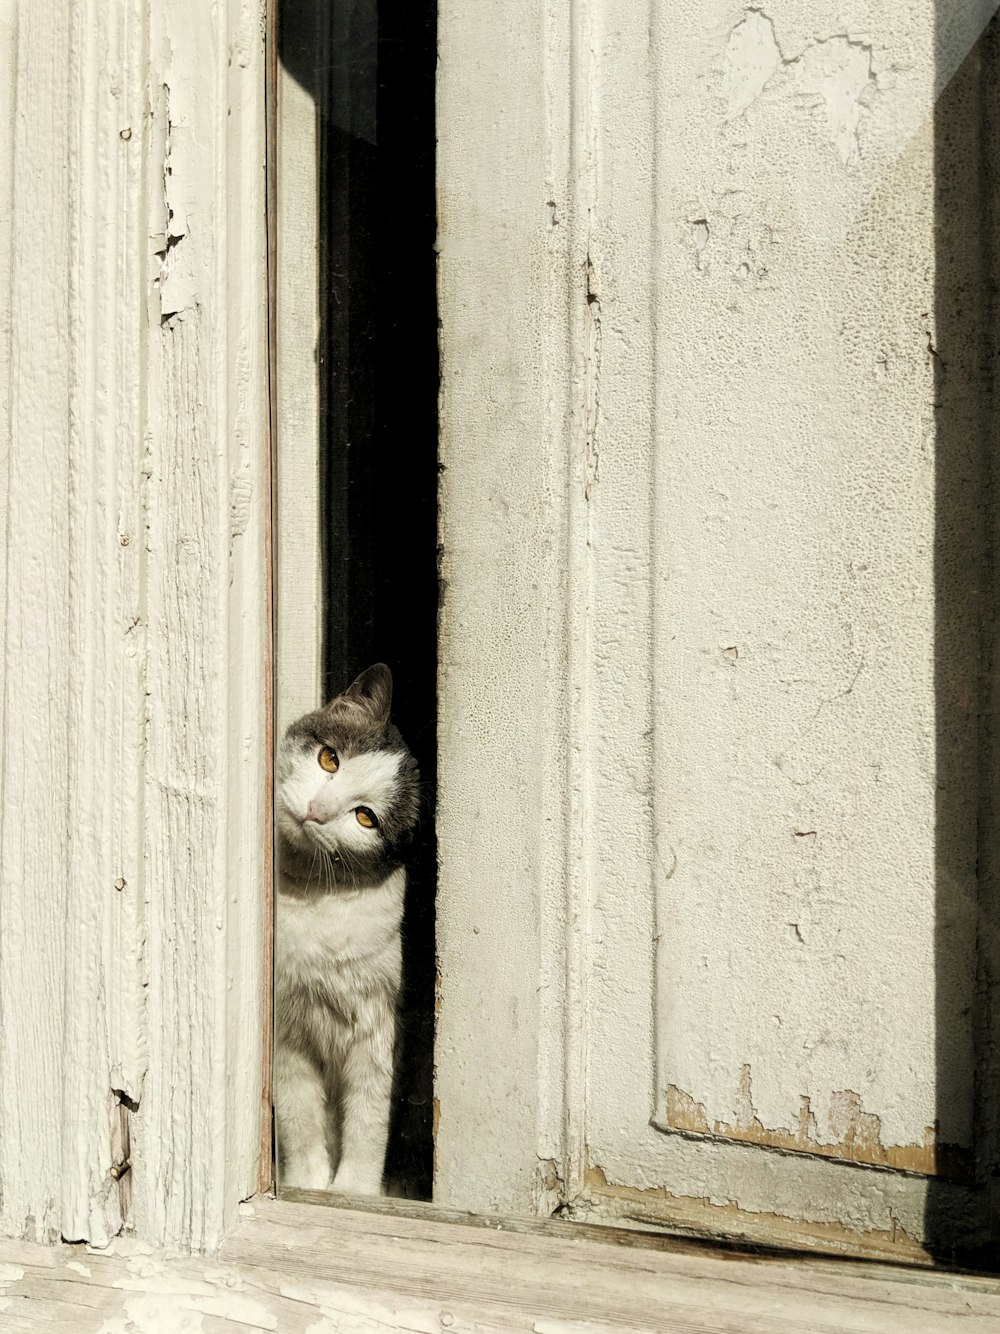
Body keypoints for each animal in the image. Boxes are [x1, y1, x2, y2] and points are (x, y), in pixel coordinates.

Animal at [274, 661, 418, 1195]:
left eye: (365, 818)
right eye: (329, 759)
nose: (317, 810)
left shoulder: (378, 1030)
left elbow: (368, 1120)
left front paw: (353, 1192)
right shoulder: (287, 1032)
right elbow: (299, 1117)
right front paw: (308, 1185)